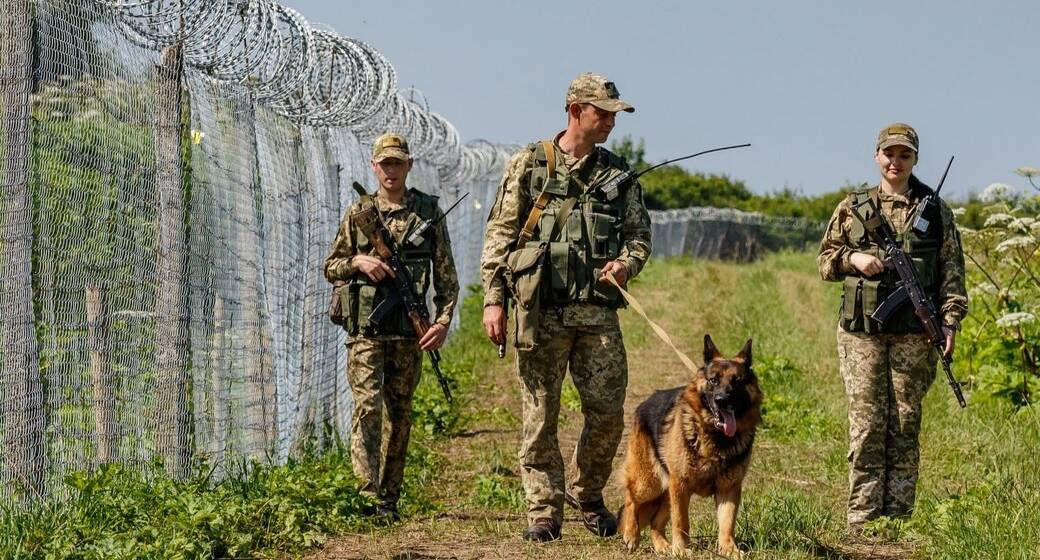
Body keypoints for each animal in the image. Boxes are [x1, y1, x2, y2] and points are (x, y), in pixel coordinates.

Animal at [619, 333, 761, 553]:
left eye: (737, 382)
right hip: (650, 483)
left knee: (655, 522)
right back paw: (631, 535)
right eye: (713, 380)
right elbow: (681, 521)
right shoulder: (681, 485)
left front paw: (729, 549)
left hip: (667, 490)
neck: (715, 437)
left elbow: (727, 523)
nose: (721, 400)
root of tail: (645, 402)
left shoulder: (728, 489)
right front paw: (680, 549)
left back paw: (662, 545)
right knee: (631, 499)